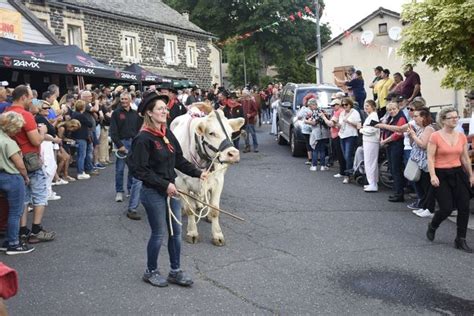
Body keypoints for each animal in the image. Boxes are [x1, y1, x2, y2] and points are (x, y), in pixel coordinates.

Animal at [170, 106, 244, 247]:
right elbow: (190, 208)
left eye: (231, 133)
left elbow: (215, 209)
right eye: (211, 133)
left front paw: (217, 235)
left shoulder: (218, 181)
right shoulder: (180, 181)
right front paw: (192, 232)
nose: (233, 154)